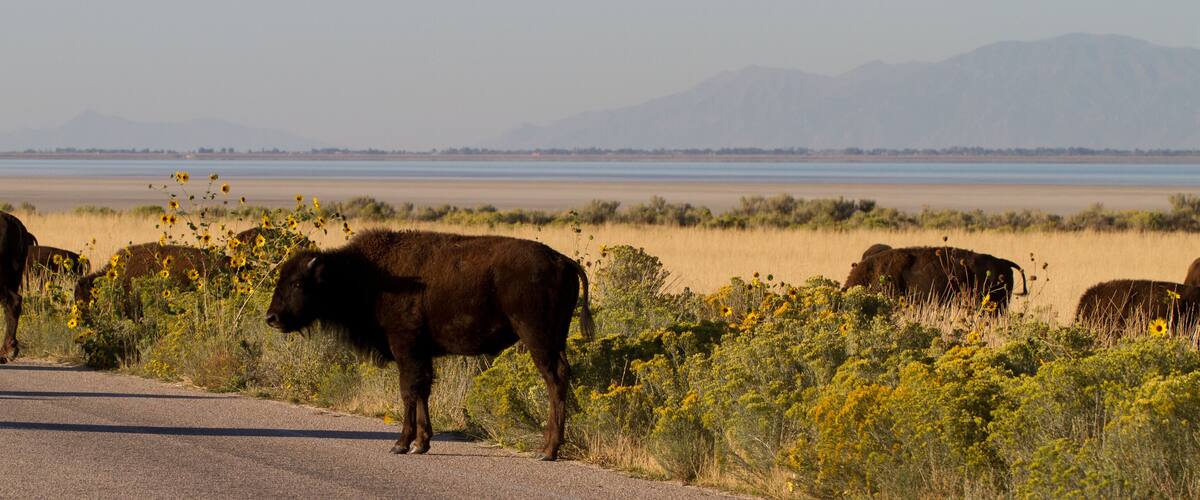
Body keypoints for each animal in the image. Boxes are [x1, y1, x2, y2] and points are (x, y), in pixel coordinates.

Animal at [266, 230, 594, 460]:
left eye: (298, 283)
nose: (272, 318)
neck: (369, 275)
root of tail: (562, 260)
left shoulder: (405, 348)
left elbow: (408, 391)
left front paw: (401, 444)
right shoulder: (421, 354)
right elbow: (423, 391)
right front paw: (421, 444)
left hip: (538, 339)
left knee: (554, 379)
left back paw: (547, 451)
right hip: (555, 339)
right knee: (561, 377)